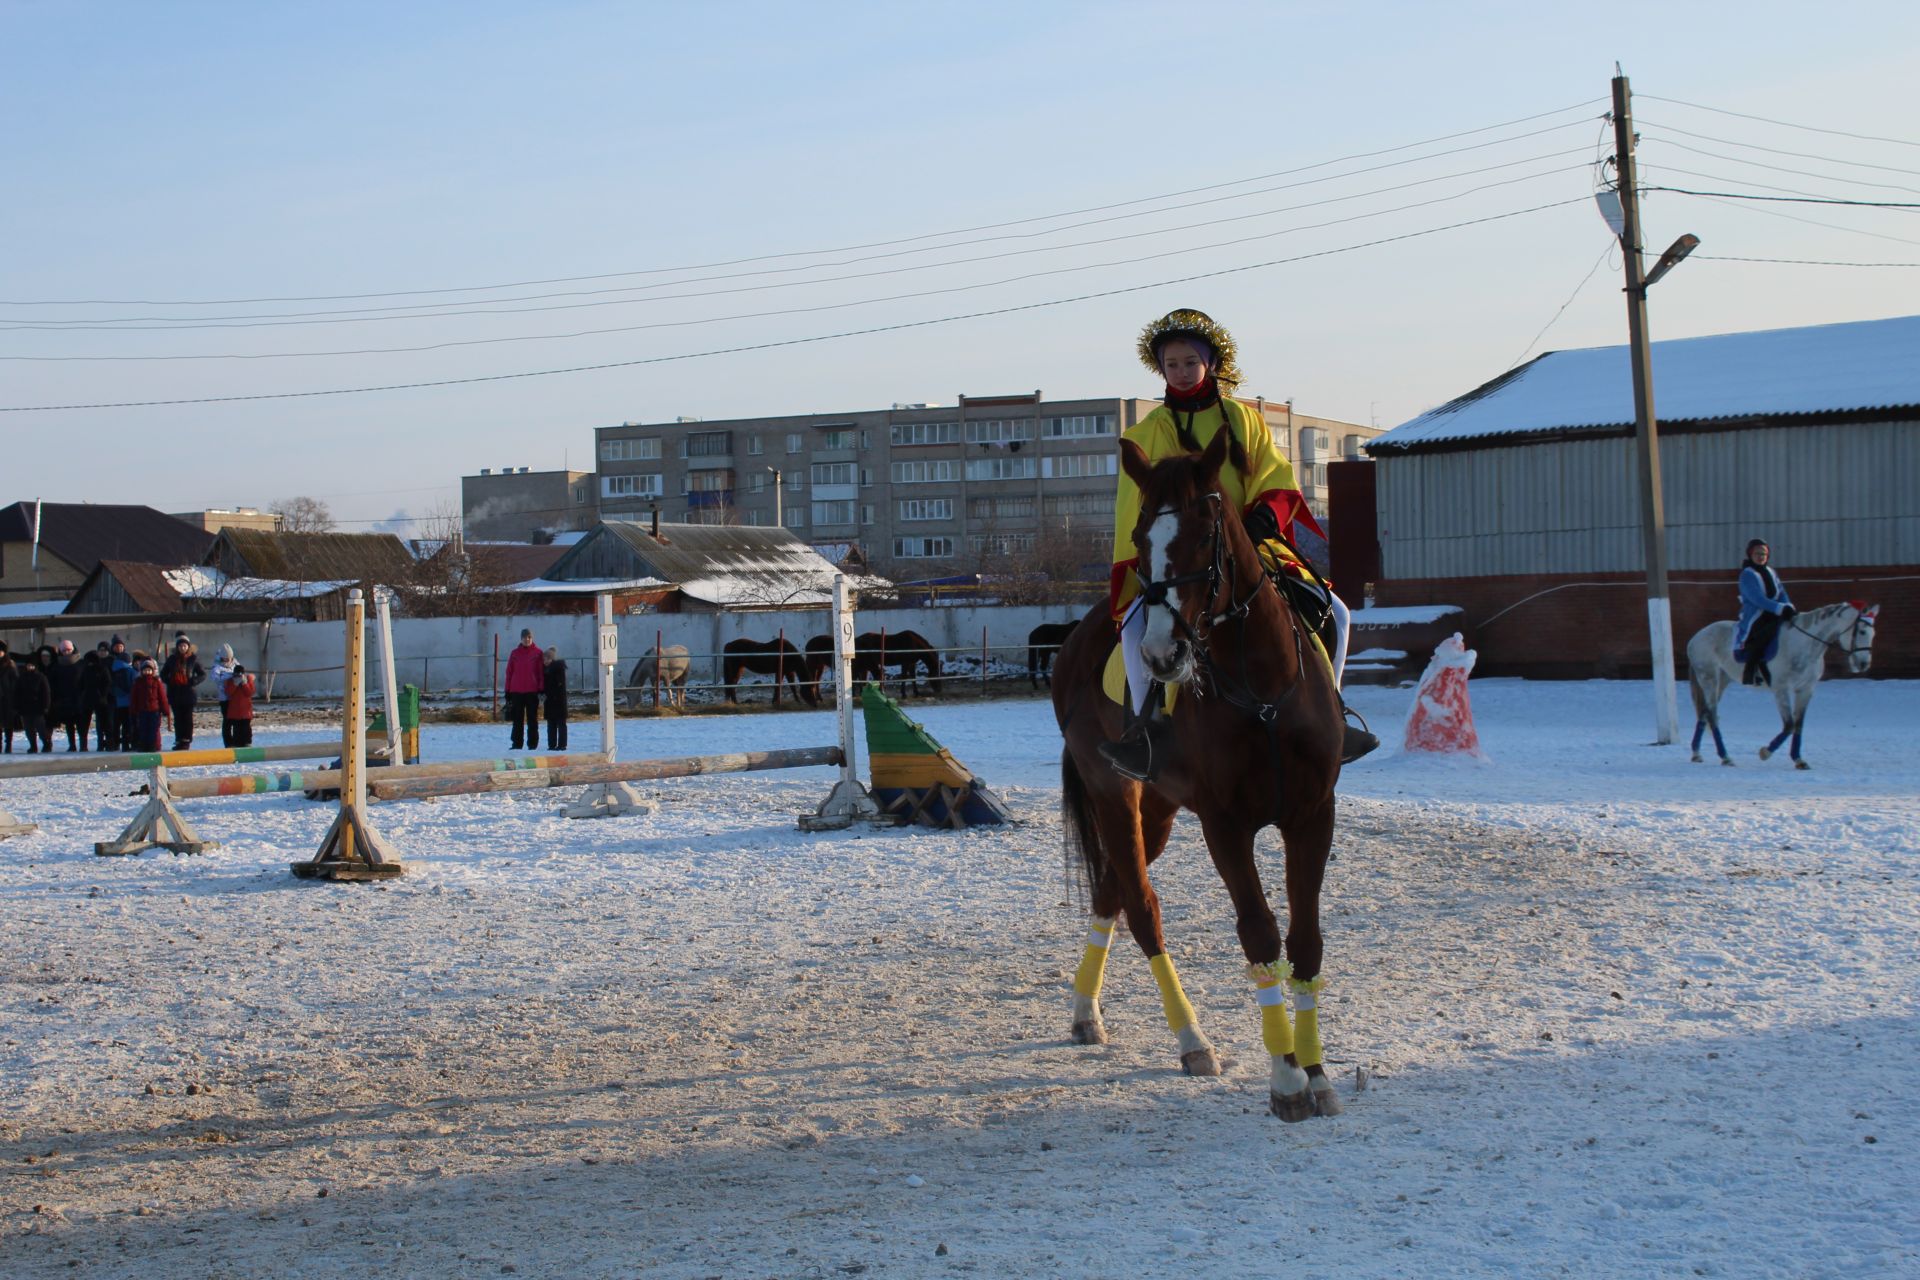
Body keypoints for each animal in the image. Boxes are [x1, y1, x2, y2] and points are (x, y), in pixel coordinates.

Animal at [798, 625, 940, 694]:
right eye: (935, 674)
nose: (939, 690)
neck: (914, 643)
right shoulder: (906, 663)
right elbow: (906, 677)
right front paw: (904, 693)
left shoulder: (911, 663)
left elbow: (913, 677)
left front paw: (915, 693)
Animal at [1052, 429, 1351, 1120]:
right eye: (1139, 537)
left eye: (1204, 531)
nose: (1163, 655)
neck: (1262, 691)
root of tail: (1074, 641)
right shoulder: (1226, 825)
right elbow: (1259, 933)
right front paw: (1286, 1078)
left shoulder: (1311, 815)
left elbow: (1306, 940)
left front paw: (1317, 1071)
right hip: (1114, 792)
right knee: (1141, 907)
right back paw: (1191, 1039)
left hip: (1158, 808)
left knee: (1111, 889)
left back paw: (1086, 1010)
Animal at [1689, 602, 1881, 771]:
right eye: (1862, 631)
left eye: (1873, 633)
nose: (1864, 664)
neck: (1805, 645)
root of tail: (1696, 636)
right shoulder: (1781, 689)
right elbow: (1789, 725)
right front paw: (1765, 752)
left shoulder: (1805, 690)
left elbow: (1798, 724)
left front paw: (1799, 760)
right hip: (1709, 678)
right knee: (1712, 715)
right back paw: (1726, 757)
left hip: (1723, 680)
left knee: (1705, 712)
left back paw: (1697, 754)